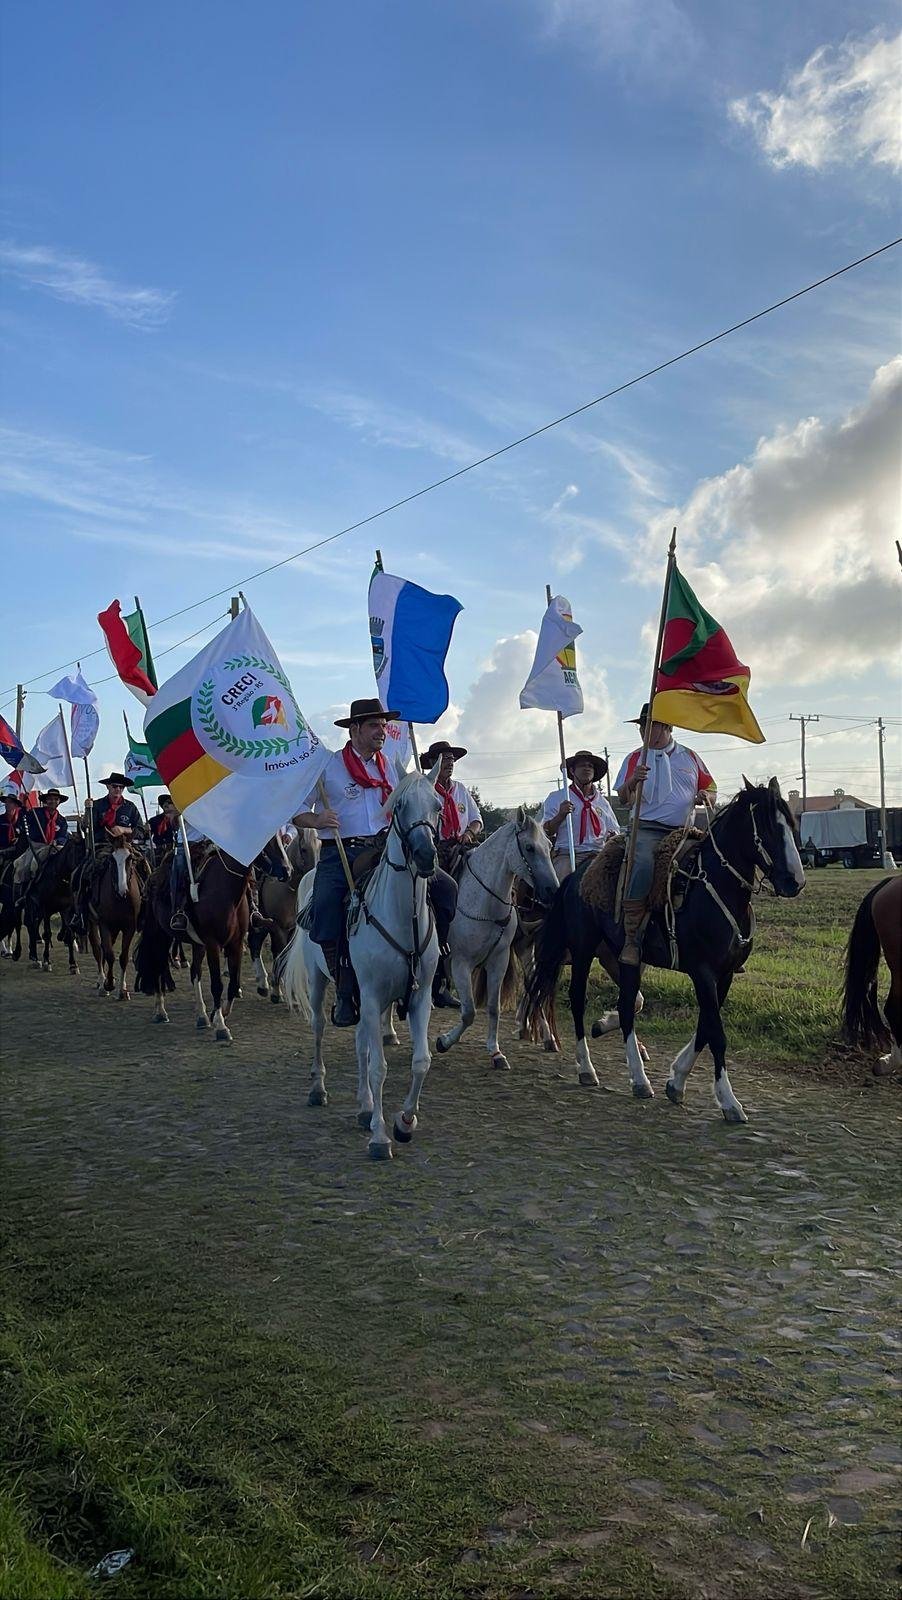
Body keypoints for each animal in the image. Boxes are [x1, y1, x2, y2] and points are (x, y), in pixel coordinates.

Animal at [131, 844, 249, 1043]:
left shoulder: (235, 943)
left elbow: (233, 982)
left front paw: (218, 1014)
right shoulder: (212, 944)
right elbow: (217, 984)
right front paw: (221, 1026)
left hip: (197, 944)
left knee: (195, 972)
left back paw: (201, 1015)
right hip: (160, 934)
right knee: (158, 965)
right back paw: (161, 1011)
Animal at [281, 768, 441, 1158]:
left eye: (438, 805)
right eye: (400, 804)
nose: (425, 856)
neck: (402, 917)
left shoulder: (419, 996)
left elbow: (421, 1061)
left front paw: (404, 1123)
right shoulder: (369, 995)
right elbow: (379, 1067)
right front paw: (380, 1138)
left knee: (360, 1044)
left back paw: (366, 1107)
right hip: (322, 983)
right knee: (320, 1027)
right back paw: (319, 1089)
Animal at [435, 819, 559, 1068]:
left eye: (549, 845)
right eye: (529, 847)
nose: (552, 889)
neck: (484, 903)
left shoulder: (500, 961)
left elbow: (494, 1007)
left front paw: (496, 1051)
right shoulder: (460, 963)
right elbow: (469, 1012)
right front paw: (444, 1041)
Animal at [524, 777, 806, 1126]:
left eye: (791, 823)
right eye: (767, 826)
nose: (795, 881)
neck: (713, 889)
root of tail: (577, 875)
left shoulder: (725, 974)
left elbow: (705, 1027)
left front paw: (677, 1081)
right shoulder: (702, 972)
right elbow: (716, 1033)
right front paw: (728, 1101)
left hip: (625, 958)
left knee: (628, 1006)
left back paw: (636, 1074)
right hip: (582, 949)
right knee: (578, 1000)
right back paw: (588, 1068)